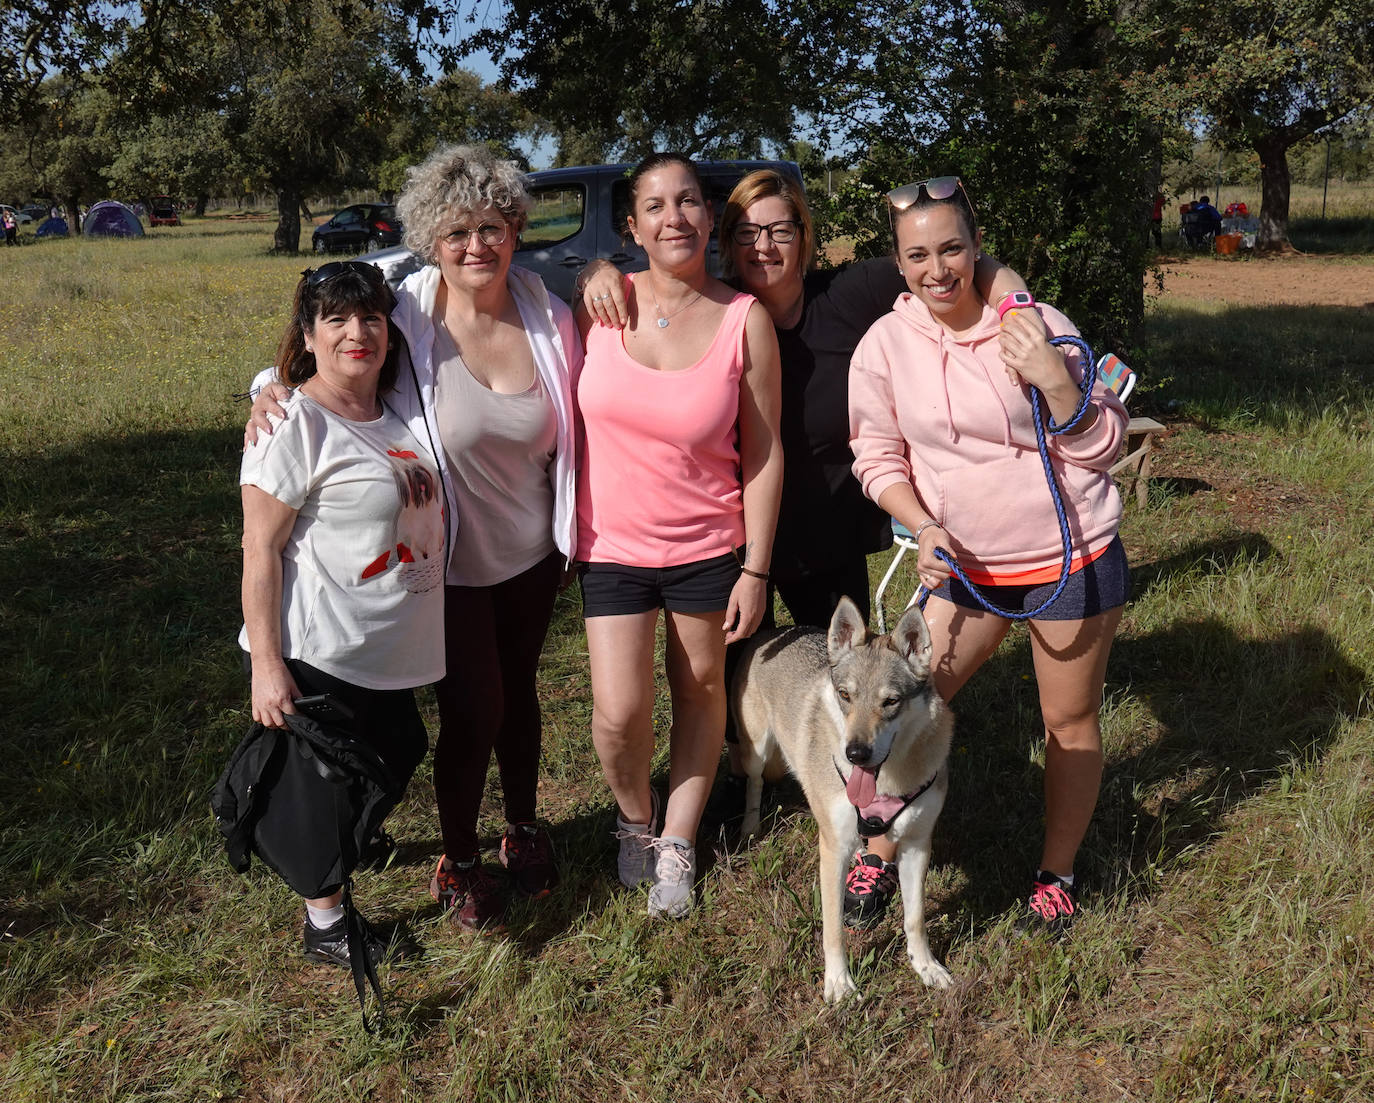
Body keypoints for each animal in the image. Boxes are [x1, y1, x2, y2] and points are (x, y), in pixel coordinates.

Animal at [730, 598, 956, 1005]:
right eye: (846, 695)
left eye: (891, 701)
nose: (855, 754)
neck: (887, 783)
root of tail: (772, 632)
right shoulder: (832, 850)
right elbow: (833, 927)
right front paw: (838, 983)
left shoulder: (917, 845)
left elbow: (915, 918)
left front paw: (926, 967)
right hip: (756, 750)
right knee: (754, 785)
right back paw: (750, 828)